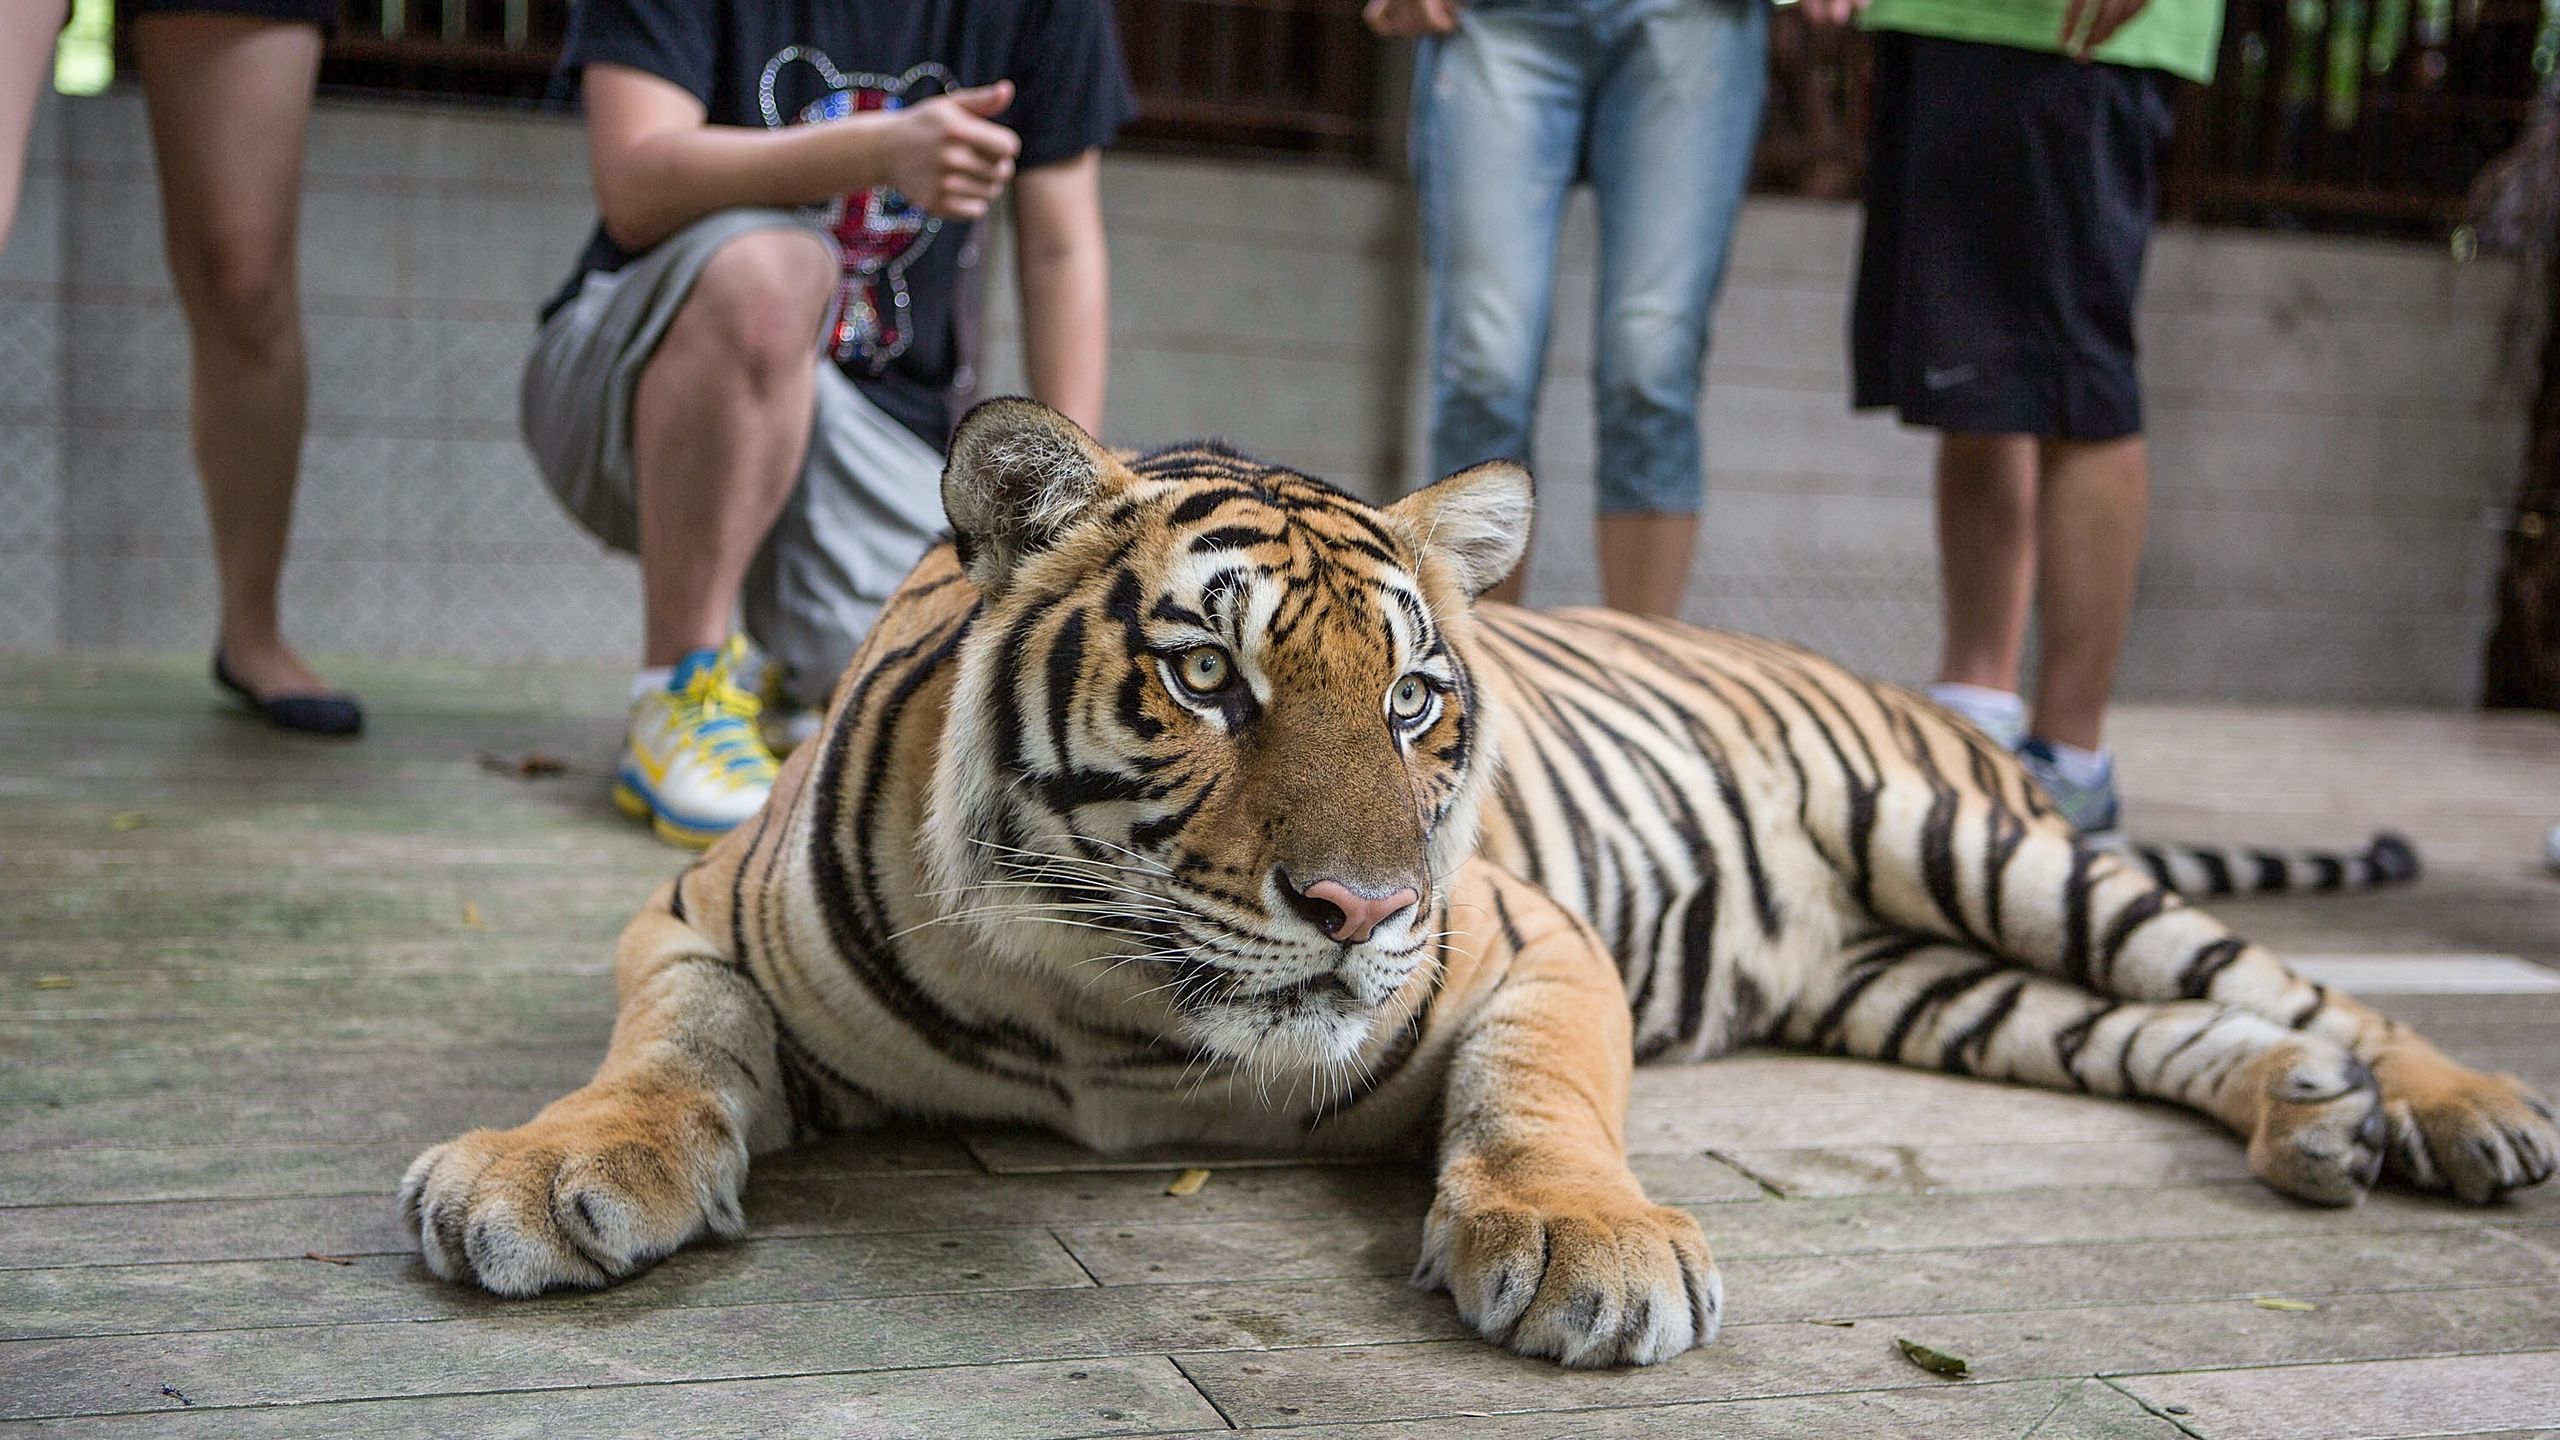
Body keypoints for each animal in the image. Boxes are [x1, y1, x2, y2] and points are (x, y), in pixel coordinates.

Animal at [401, 399, 2557, 1369]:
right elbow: (662, 1051)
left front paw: (1587, 1250)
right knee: (2161, 1031)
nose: (1361, 913)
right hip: (1928, 985)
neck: (1114, 1020)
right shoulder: (692, 920)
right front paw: (548, 1170)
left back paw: (2451, 1111)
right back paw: (2307, 1125)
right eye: (1208, 678)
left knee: (2280, 978)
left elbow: (1540, 1103)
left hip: (1978, 852)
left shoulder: (1536, 944)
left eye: (1419, 697)